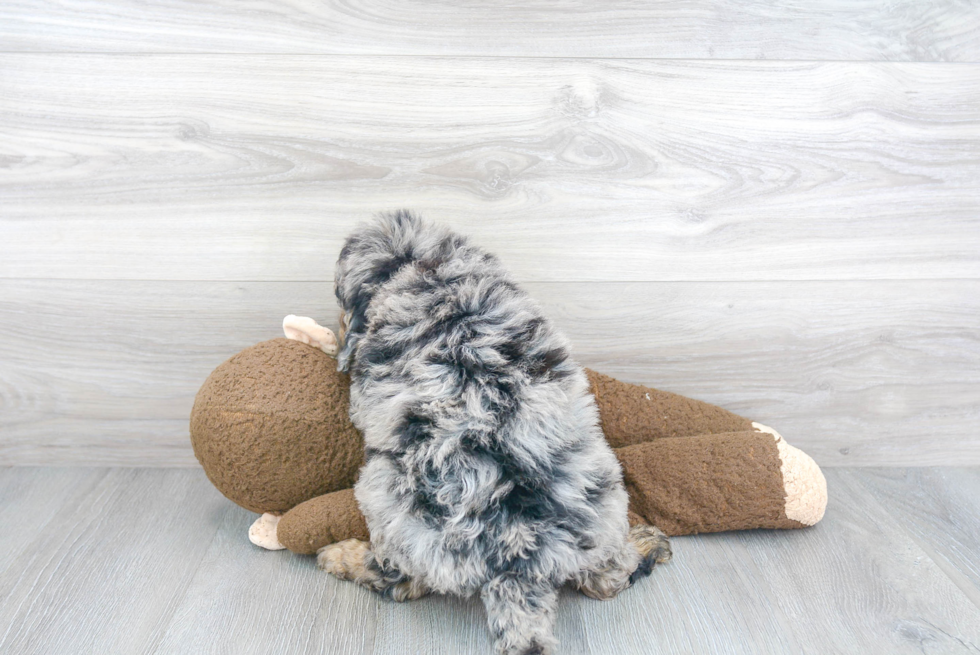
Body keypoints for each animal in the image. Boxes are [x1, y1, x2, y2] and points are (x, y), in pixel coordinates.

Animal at [318, 213, 668, 652]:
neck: (422, 262)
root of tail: (519, 562)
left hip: (388, 500)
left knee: (400, 578)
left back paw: (339, 557)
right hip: (605, 503)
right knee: (606, 578)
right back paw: (646, 547)